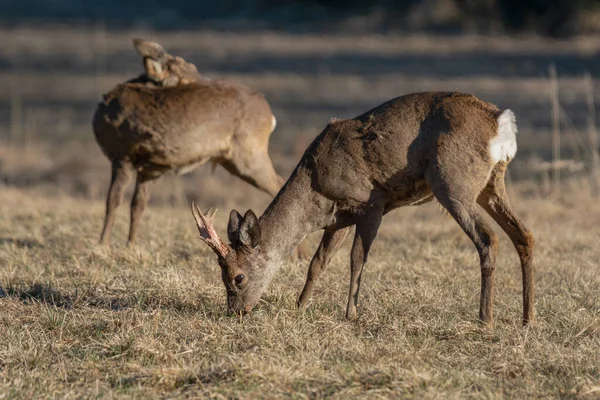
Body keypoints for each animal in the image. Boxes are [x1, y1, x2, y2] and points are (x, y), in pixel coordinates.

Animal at [95, 40, 288, 247]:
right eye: (185, 76)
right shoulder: (151, 167)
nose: (207, 83)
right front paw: (130, 245)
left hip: (249, 154)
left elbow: (113, 200)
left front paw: (102, 244)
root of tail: (270, 116)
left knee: (278, 183)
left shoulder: (122, 154)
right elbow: (137, 205)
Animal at [191, 91, 536, 328]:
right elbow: (318, 262)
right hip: (491, 184)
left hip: (452, 182)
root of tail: (500, 122)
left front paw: (351, 313)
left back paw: (485, 319)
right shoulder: (338, 218)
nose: (235, 312)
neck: (315, 188)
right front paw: (300, 306)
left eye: (238, 277)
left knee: (488, 238)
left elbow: (357, 258)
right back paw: (527, 318)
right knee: (524, 236)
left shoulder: (371, 202)